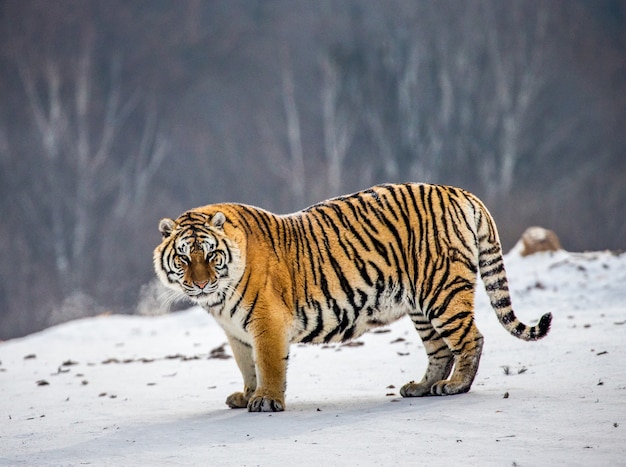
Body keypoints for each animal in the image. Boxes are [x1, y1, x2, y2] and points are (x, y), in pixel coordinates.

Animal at [154, 183, 548, 414]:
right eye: (184, 258)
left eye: (211, 255)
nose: (201, 284)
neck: (219, 299)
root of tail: (461, 192)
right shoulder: (236, 333)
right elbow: (246, 365)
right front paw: (247, 395)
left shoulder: (267, 323)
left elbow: (268, 364)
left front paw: (266, 400)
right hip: (421, 306)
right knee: (439, 351)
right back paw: (421, 387)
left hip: (442, 291)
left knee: (471, 339)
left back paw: (455, 386)